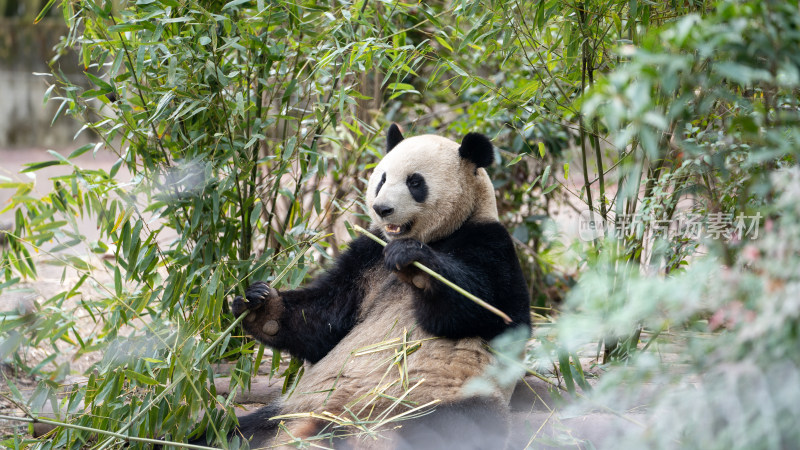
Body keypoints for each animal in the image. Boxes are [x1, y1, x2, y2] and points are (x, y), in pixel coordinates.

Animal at [206, 125, 532, 448]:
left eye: (415, 182)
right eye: (382, 179)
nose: (382, 208)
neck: (440, 236)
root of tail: (337, 423)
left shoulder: (490, 243)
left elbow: (489, 310)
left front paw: (415, 264)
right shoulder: (367, 256)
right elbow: (325, 318)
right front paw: (260, 306)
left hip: (436, 398)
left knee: (446, 428)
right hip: (285, 412)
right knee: (230, 431)